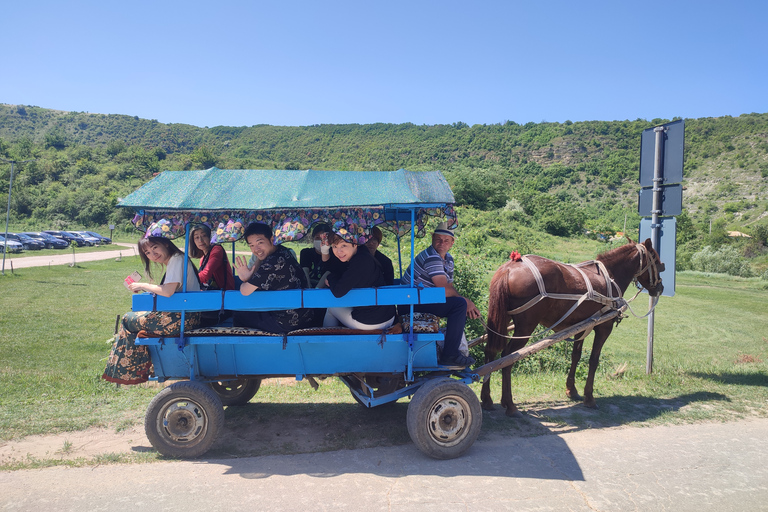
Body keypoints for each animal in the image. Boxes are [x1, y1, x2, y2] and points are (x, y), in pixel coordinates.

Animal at [484, 239, 664, 416]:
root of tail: (508, 268)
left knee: (491, 351)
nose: (660, 288)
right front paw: (589, 397)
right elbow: (593, 360)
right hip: (525, 327)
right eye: (656, 261)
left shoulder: (580, 327)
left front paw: (572, 390)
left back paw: (487, 399)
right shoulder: (604, 327)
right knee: (507, 357)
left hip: (502, 319)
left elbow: (575, 356)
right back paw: (510, 404)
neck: (610, 276)